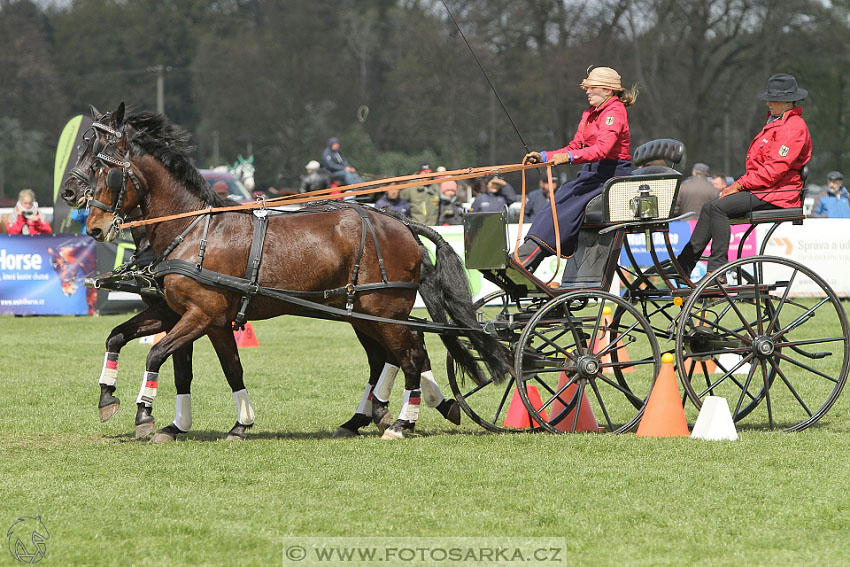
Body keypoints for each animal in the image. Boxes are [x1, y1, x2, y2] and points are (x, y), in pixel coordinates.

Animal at [83, 103, 506, 440]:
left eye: (107, 172)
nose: (94, 227)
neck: (195, 231)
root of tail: (400, 223)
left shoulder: (202, 314)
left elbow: (159, 356)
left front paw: (145, 415)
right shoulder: (190, 314)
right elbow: (131, 341)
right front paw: (111, 398)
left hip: (385, 309)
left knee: (412, 355)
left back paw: (402, 422)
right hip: (363, 313)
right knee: (387, 357)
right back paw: (374, 416)